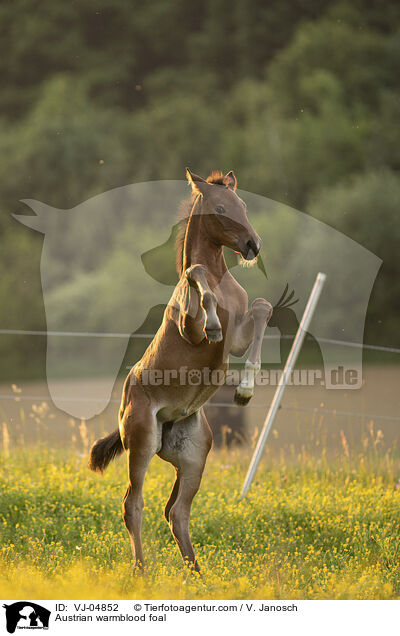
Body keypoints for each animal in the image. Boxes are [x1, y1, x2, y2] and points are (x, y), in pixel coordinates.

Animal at [89, 168, 274, 572]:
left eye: (243, 204)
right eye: (220, 208)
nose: (253, 245)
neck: (222, 285)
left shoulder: (239, 337)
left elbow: (262, 307)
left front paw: (245, 391)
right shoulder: (194, 334)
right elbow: (196, 272)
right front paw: (212, 320)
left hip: (194, 456)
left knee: (176, 512)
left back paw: (197, 574)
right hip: (142, 442)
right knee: (133, 505)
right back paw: (141, 572)